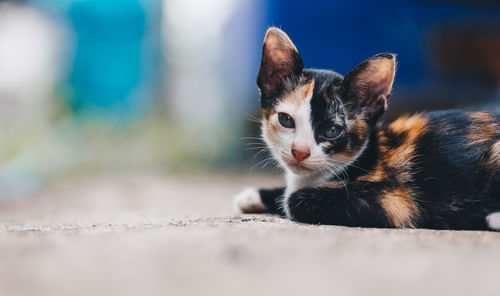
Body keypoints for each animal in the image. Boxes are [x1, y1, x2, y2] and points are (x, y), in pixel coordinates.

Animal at [233, 27, 500, 231]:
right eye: (286, 120)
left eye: (332, 131)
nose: (299, 151)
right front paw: (253, 196)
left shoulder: (397, 203)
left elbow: (293, 199)